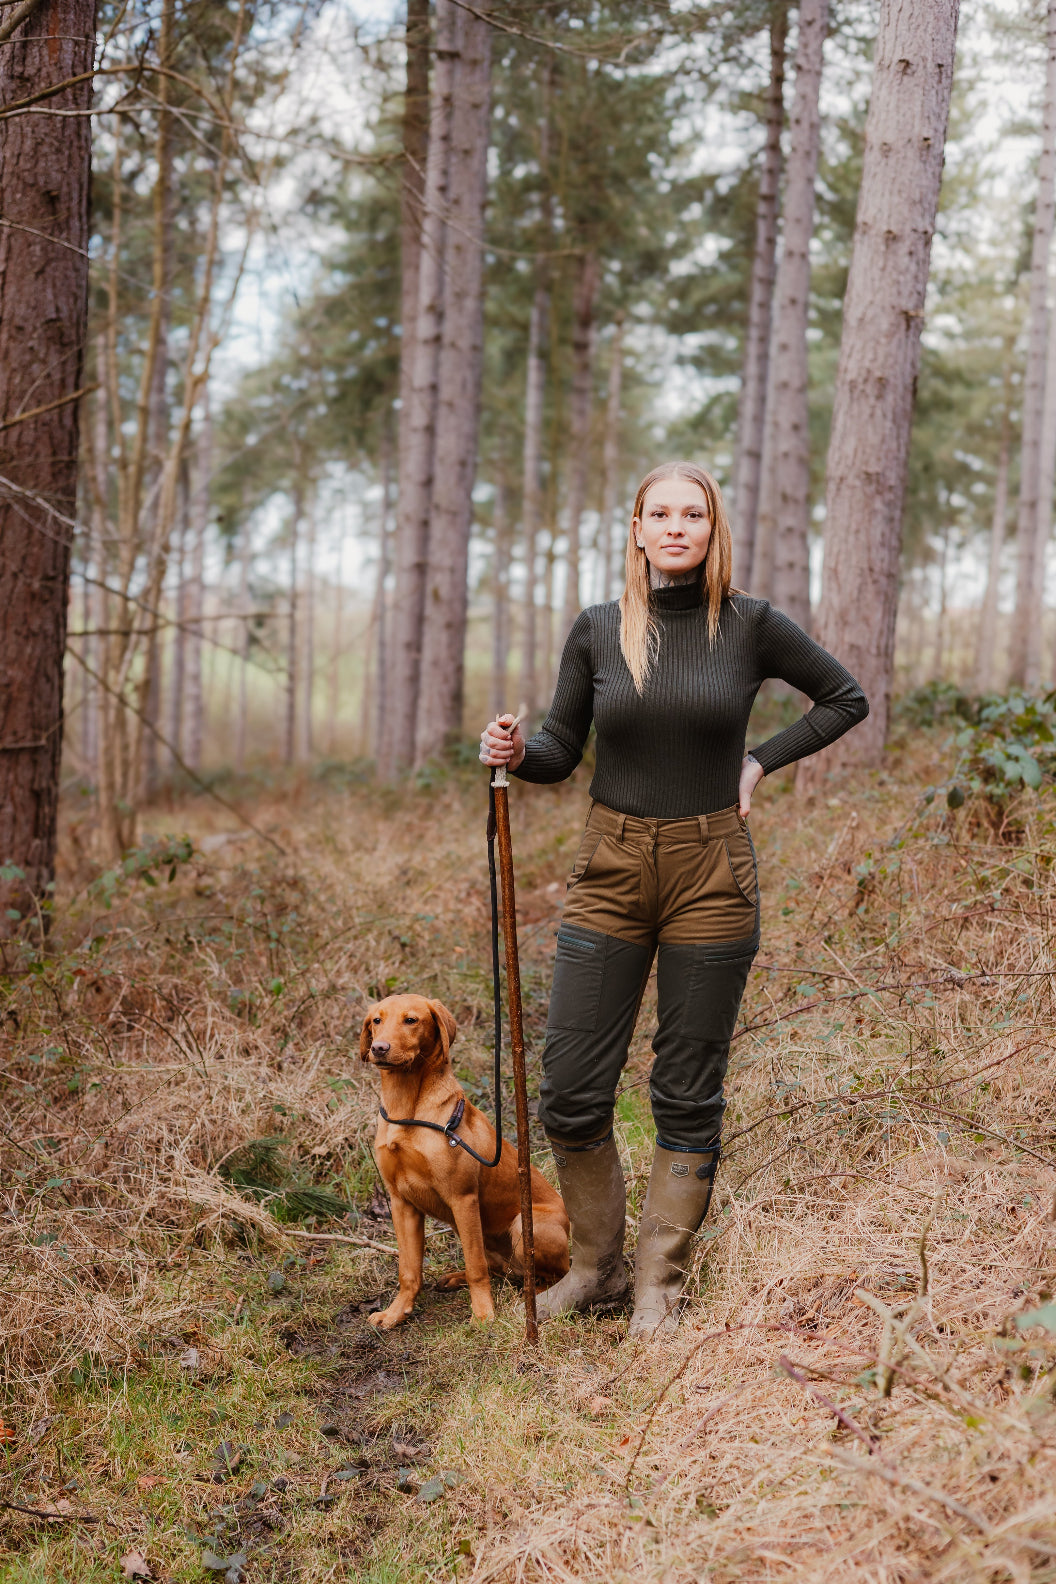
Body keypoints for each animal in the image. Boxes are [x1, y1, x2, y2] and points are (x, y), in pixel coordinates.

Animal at [367, 994, 573, 1330]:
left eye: (411, 1020)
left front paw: (483, 1314)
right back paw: (455, 1278)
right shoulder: (401, 1203)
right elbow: (408, 1270)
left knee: (550, 1275)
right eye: (376, 1020)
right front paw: (396, 1313)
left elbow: (477, 1267)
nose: (379, 1048)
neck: (406, 1109)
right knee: (501, 1269)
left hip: (525, 1225)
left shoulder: (462, 1198)